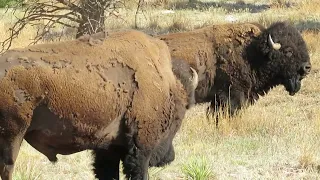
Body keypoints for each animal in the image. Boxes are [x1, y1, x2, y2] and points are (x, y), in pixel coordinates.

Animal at [0, 28, 198, 179]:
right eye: (179, 115)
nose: (169, 158)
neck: (164, 84)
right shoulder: (140, 147)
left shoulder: (108, 147)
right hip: (12, 137)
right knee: (7, 168)